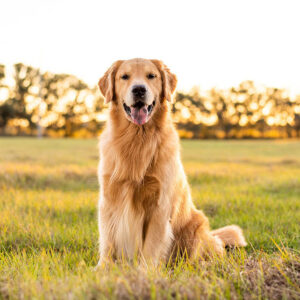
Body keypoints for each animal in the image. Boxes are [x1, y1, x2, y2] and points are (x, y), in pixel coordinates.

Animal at [96, 58, 246, 268]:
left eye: (151, 76)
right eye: (124, 76)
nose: (139, 89)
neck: (136, 139)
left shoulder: (159, 205)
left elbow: (151, 246)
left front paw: (145, 272)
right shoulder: (109, 198)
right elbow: (108, 240)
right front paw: (103, 269)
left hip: (196, 226)